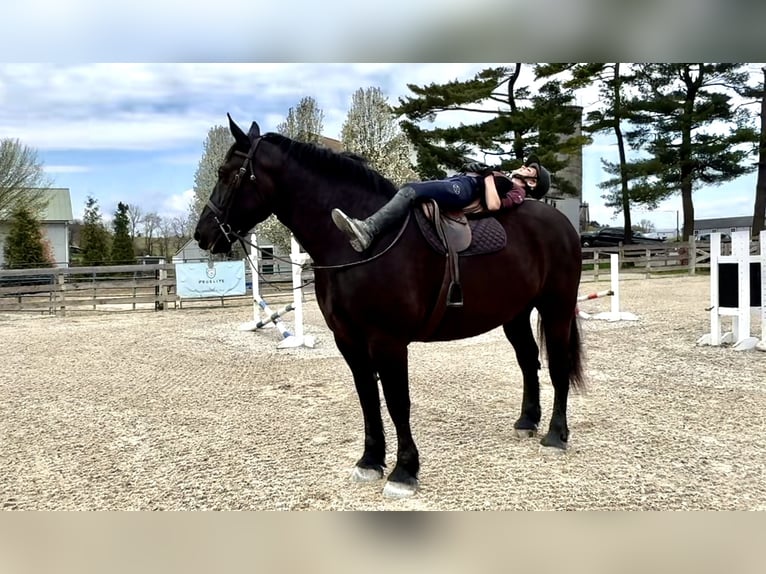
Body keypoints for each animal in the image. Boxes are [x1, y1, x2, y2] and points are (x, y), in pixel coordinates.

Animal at [194, 114, 586, 499]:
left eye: (226, 173)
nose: (203, 234)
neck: (356, 246)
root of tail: (563, 224)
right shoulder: (349, 340)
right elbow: (368, 398)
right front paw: (370, 461)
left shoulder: (388, 341)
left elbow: (398, 402)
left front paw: (404, 471)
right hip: (515, 315)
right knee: (528, 360)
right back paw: (527, 421)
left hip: (556, 308)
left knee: (557, 365)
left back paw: (556, 435)